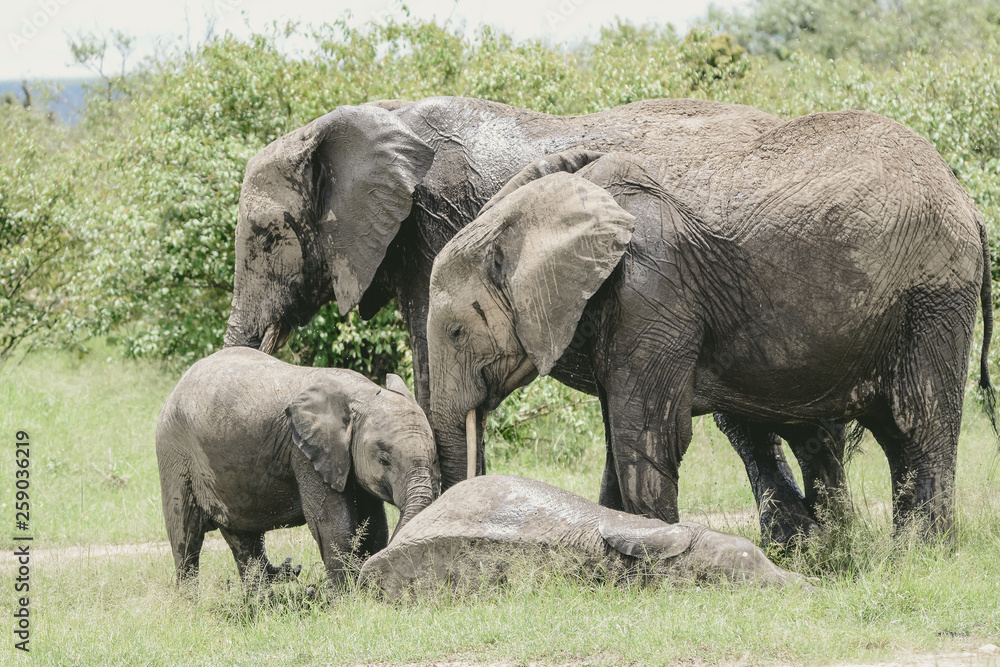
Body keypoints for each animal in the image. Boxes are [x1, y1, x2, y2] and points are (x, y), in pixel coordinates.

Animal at [155, 347, 440, 586]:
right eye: (384, 460)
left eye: (434, 457)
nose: (294, 567)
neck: (361, 395)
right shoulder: (304, 453)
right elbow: (330, 523)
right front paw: (348, 599)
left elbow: (373, 523)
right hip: (173, 451)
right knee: (185, 538)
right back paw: (190, 605)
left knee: (243, 538)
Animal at [426, 109, 994, 541]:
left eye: (455, 332)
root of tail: (967, 199)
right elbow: (616, 435)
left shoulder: (654, 286)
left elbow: (647, 431)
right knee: (894, 433)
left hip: (933, 294)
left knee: (917, 421)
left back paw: (918, 556)